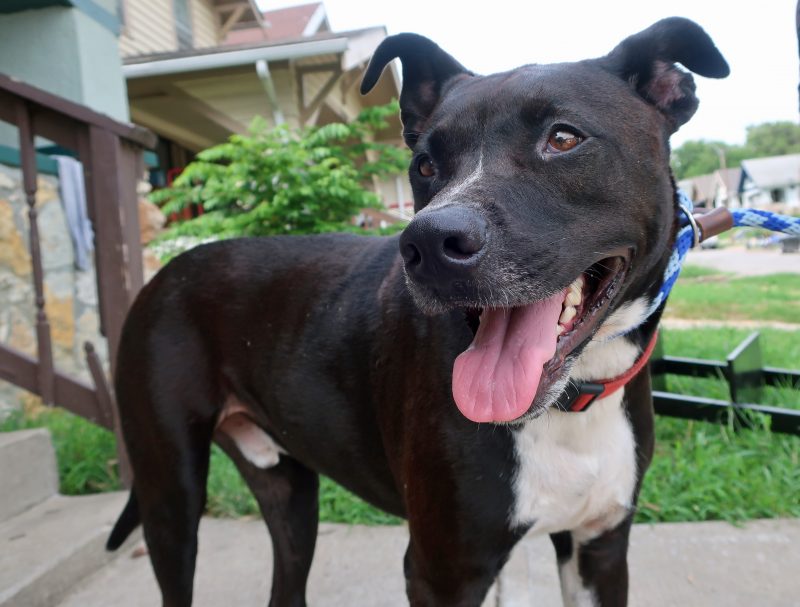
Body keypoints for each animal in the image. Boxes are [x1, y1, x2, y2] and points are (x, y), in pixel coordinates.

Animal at [108, 16, 732, 604]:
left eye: (563, 138)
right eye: (426, 165)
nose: (429, 243)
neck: (570, 404)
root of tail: (166, 272)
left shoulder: (598, 550)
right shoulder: (443, 572)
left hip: (289, 493)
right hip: (171, 497)